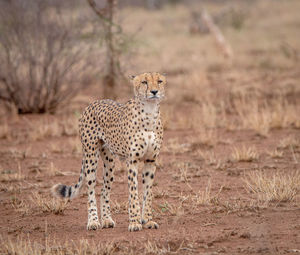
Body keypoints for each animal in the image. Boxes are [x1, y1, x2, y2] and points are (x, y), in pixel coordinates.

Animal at [50, 71, 165, 231]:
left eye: (159, 81)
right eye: (144, 82)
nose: (154, 92)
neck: (149, 112)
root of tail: (94, 102)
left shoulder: (150, 160)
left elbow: (148, 192)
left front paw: (147, 220)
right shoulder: (132, 161)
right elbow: (133, 193)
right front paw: (134, 222)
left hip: (109, 161)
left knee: (104, 189)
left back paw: (106, 220)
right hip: (91, 155)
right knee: (91, 188)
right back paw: (93, 221)